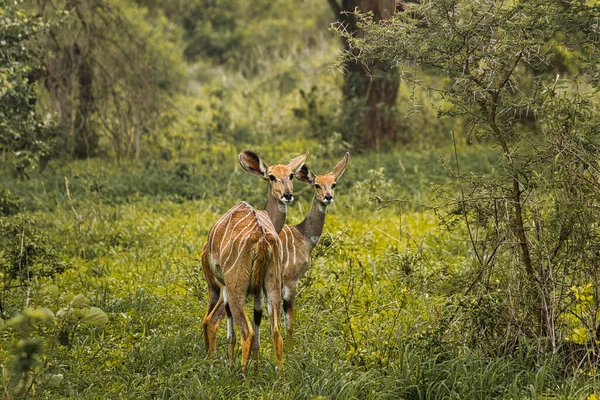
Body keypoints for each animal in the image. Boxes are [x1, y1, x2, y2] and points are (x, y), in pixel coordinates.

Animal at [202, 150, 310, 376]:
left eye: (291, 175)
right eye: (272, 177)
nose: (287, 195)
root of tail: (260, 239)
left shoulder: (229, 287)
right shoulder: (259, 290)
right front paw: (256, 368)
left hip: (233, 288)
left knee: (237, 329)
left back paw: (235, 373)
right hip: (270, 284)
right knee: (274, 331)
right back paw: (280, 377)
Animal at [280, 152, 350, 344]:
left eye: (333, 184)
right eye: (317, 185)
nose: (328, 197)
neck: (304, 236)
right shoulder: (290, 279)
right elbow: (289, 321)